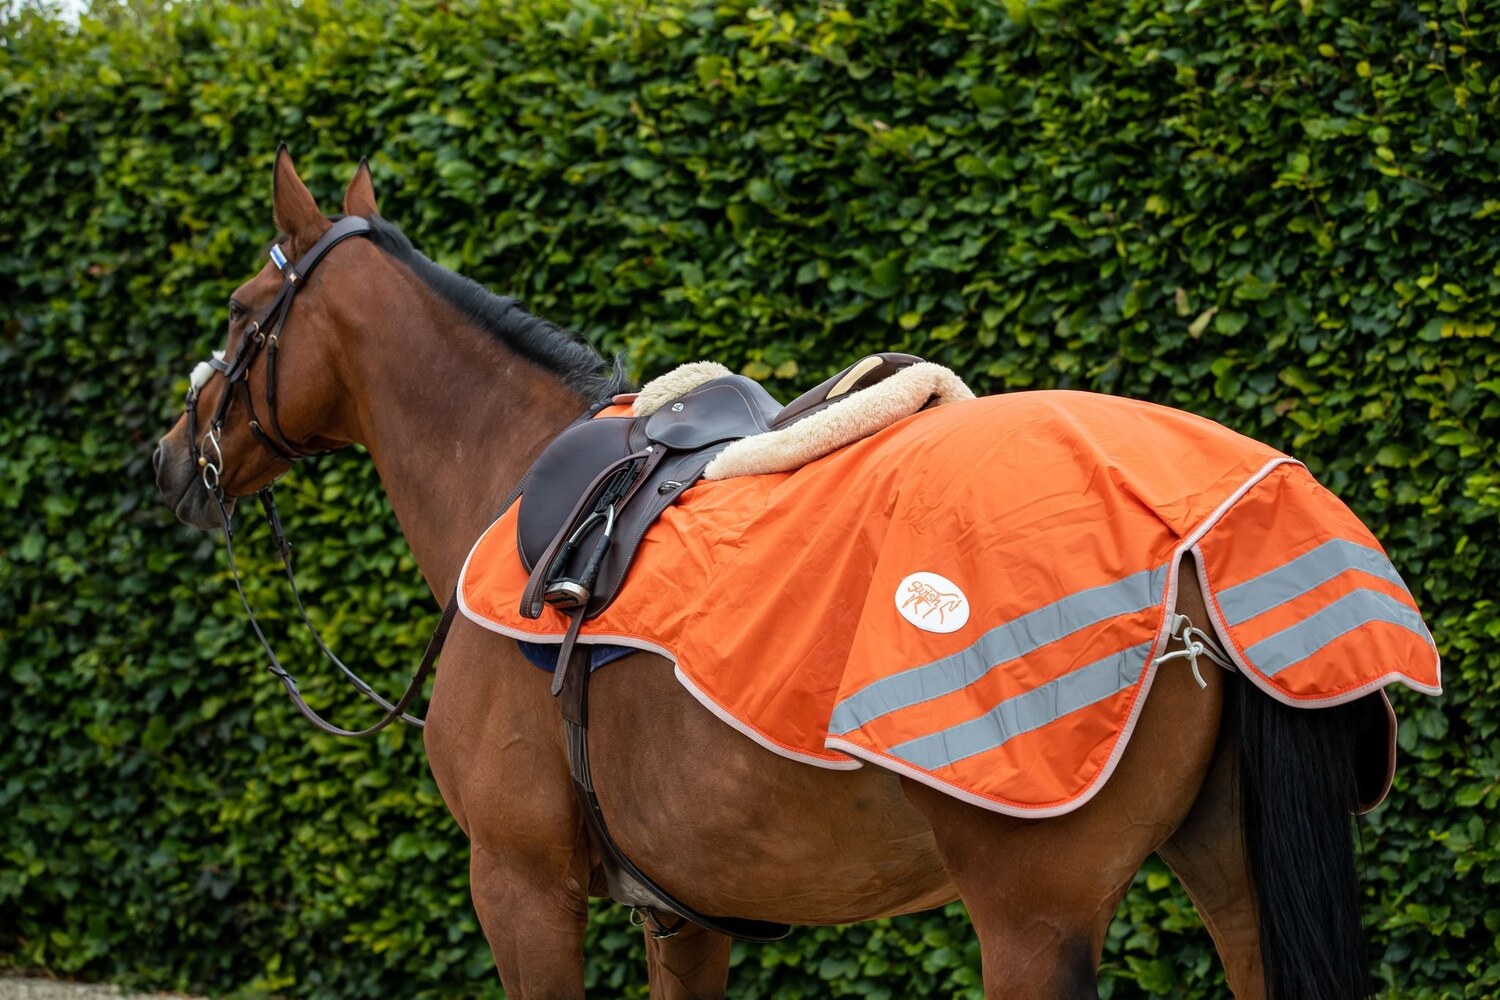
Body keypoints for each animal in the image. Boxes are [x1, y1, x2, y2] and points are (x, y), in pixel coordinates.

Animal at [154, 149, 1418, 999]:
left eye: (243, 310)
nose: (172, 458)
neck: (509, 472)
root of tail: (1205, 534)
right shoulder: (685, 916)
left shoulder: (519, 887)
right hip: (1233, 876)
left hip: (1034, 916)